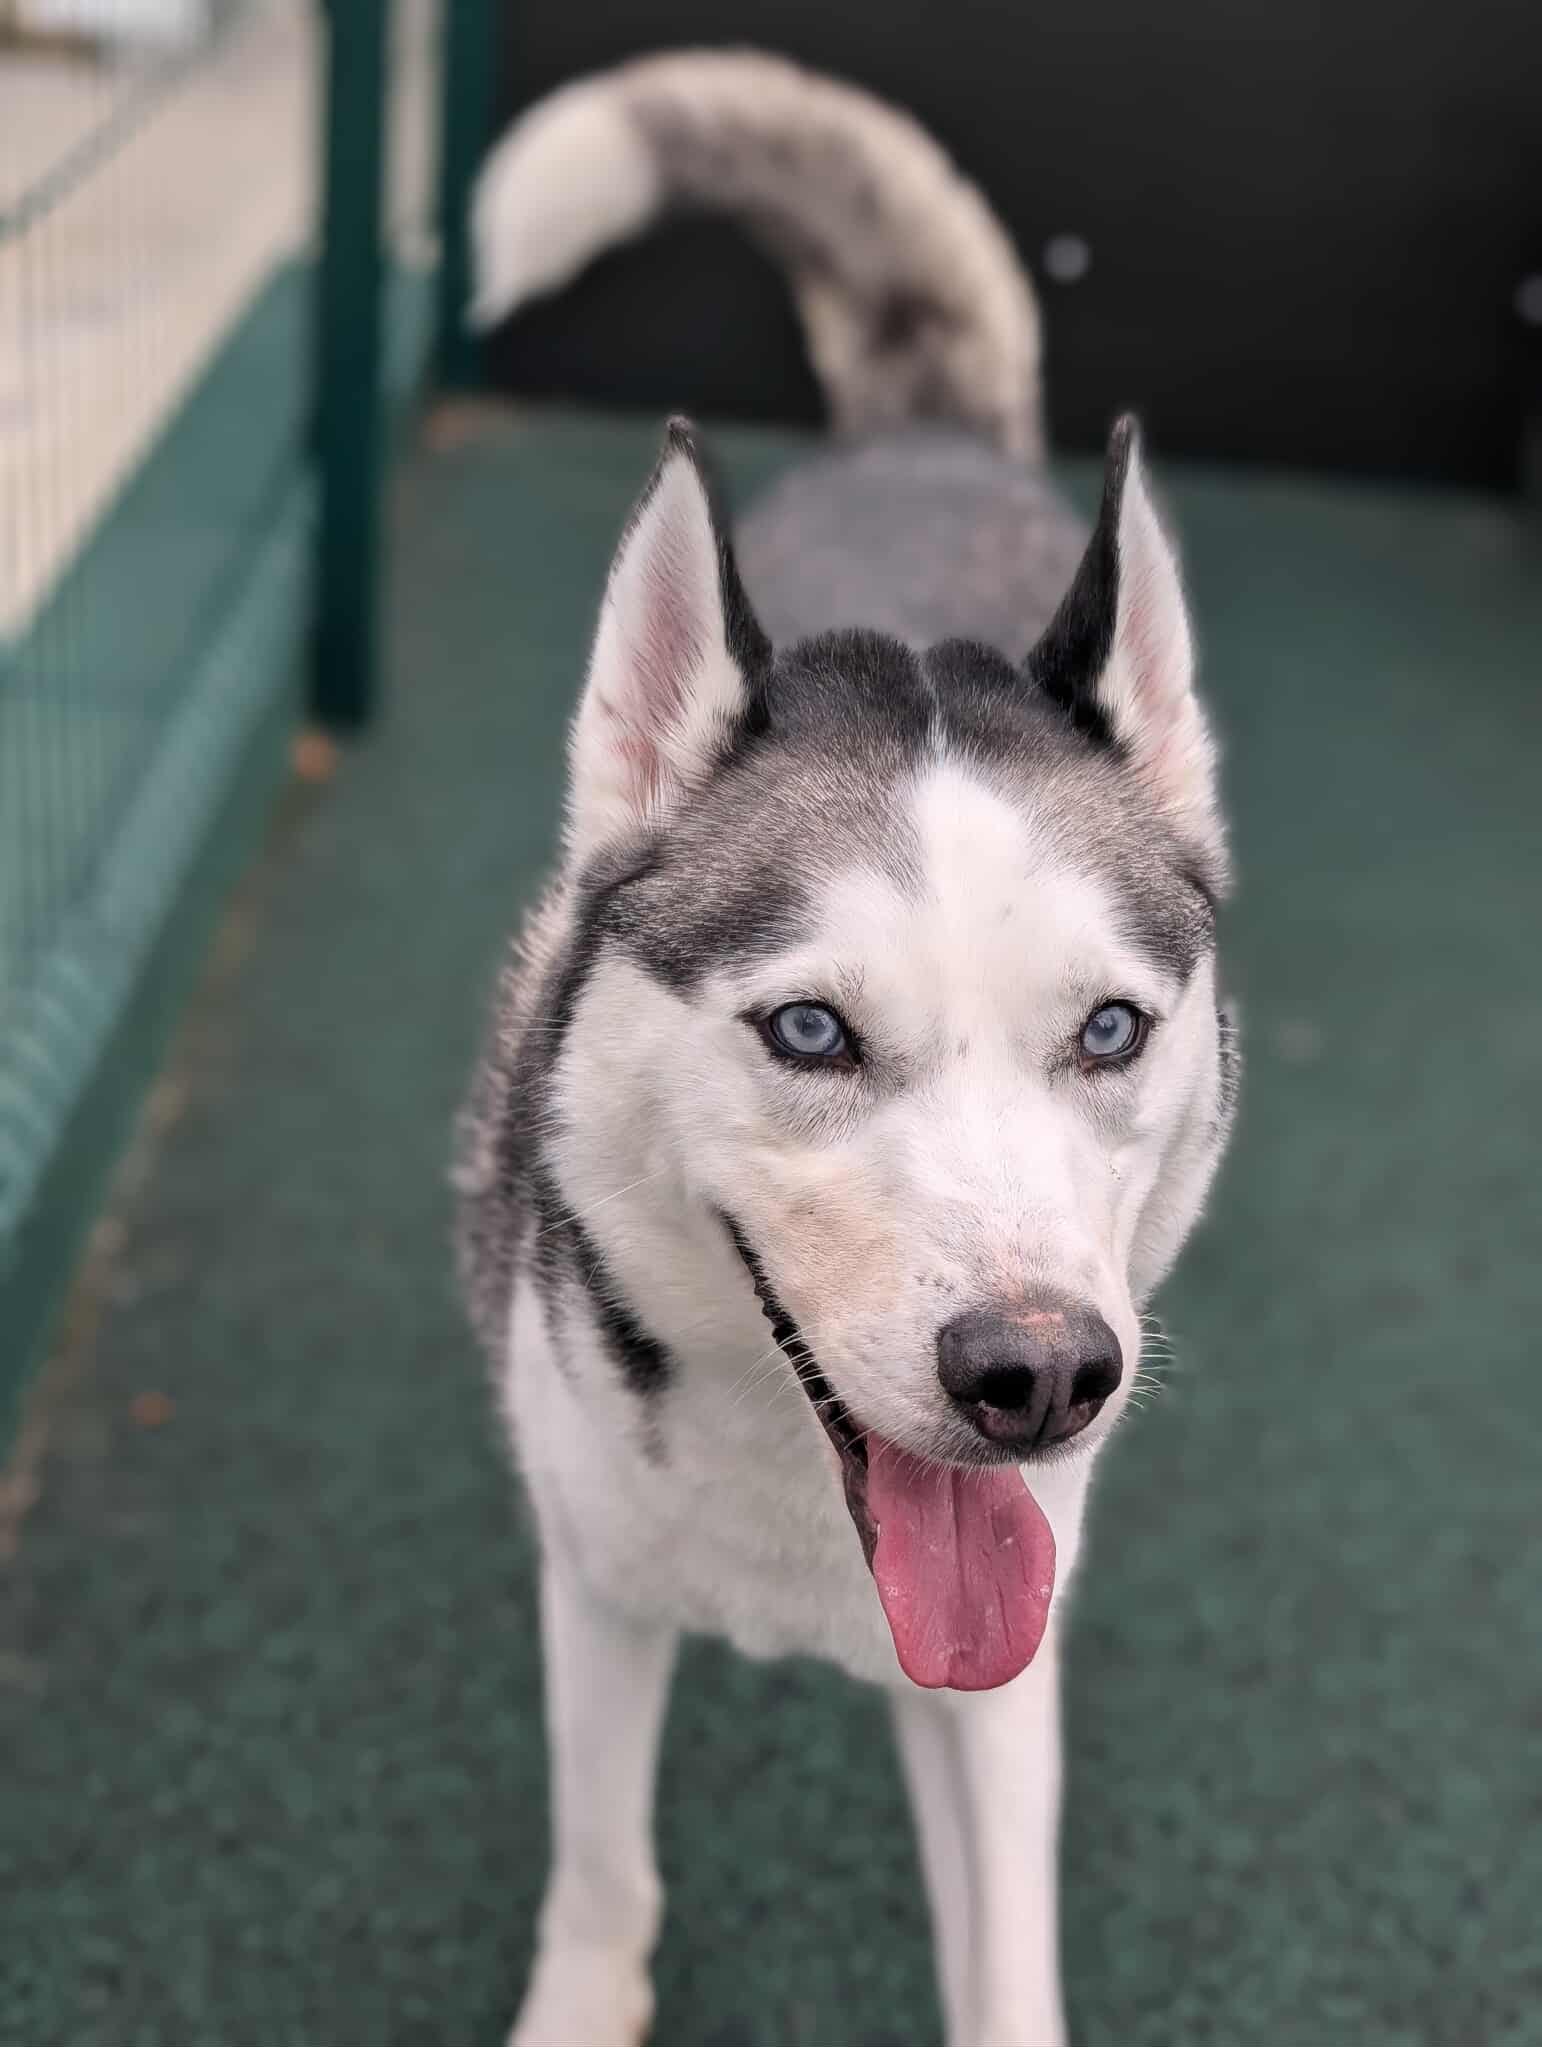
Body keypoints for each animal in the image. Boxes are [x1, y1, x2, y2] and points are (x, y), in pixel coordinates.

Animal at [455, 49, 1238, 2047]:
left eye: (1108, 1028)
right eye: (809, 1028)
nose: (1038, 1378)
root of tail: (925, 447)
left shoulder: (1004, 1665)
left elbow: (1006, 1967)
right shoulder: (593, 1589)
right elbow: (602, 1868)